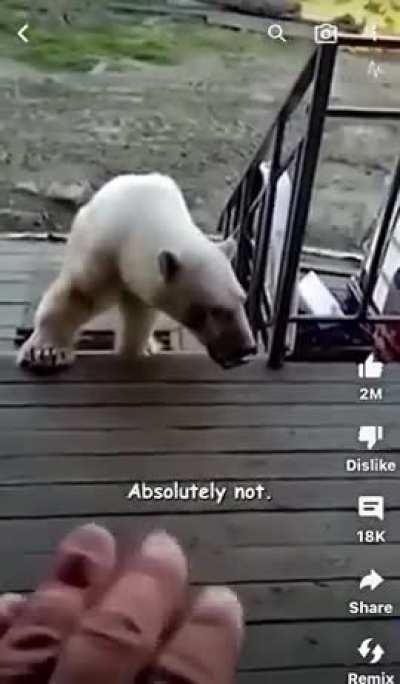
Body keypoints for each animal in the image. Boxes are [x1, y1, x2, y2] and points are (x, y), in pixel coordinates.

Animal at [17, 173, 257, 371]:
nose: (246, 348)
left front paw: (137, 350)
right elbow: (77, 294)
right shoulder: (103, 252)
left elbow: (139, 320)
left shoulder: (143, 284)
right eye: (215, 310)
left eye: (243, 299)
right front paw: (46, 352)